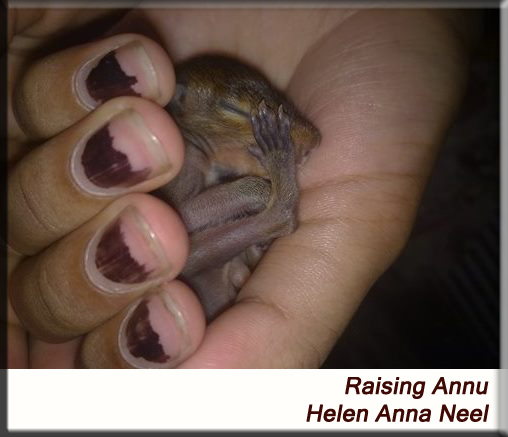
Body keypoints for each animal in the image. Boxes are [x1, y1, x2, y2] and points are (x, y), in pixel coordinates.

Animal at [157, 54, 320, 320]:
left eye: (280, 94)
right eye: (232, 108)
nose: (315, 141)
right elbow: (185, 212)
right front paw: (262, 192)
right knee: (282, 217)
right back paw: (277, 152)